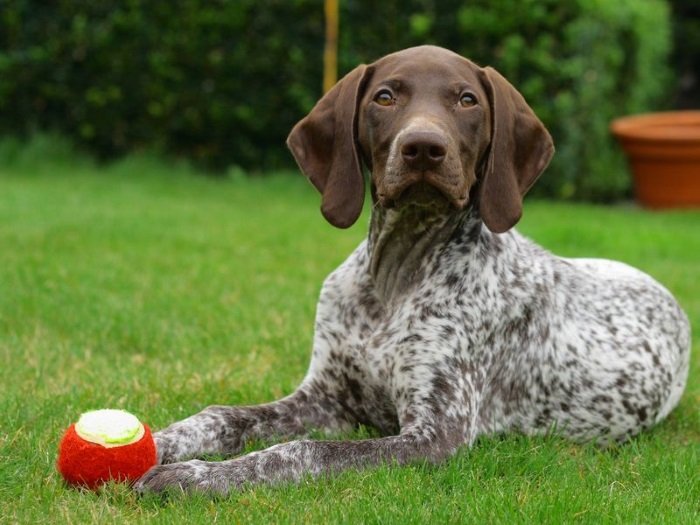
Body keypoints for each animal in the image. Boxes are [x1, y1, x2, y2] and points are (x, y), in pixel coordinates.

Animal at [135, 47, 688, 494]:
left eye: (467, 100)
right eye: (384, 97)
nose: (423, 147)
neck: (396, 278)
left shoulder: (434, 434)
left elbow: (302, 451)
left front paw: (200, 476)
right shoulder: (326, 400)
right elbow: (223, 415)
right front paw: (161, 441)